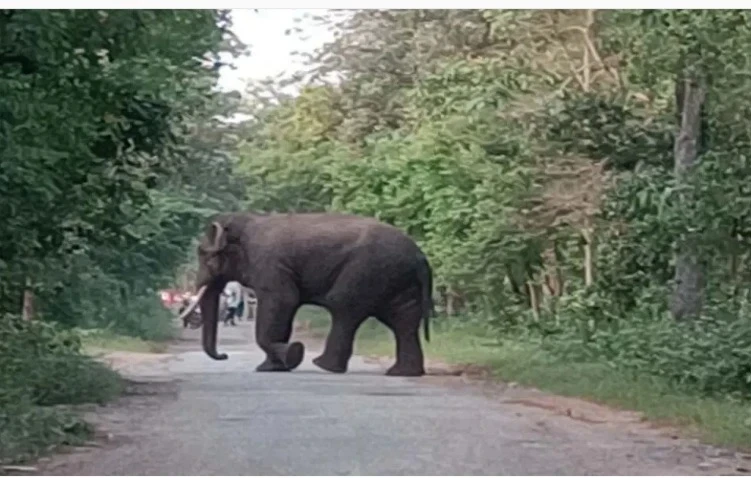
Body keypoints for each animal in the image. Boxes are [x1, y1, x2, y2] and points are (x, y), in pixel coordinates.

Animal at [177, 212, 434, 377]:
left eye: (204, 255)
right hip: (397, 279)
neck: (245, 220)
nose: (224, 356)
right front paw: (273, 367)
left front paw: (292, 354)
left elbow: (282, 301)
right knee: (403, 321)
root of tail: (420, 257)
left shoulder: (270, 264)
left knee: (344, 307)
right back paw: (402, 373)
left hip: (367, 271)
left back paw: (324, 366)